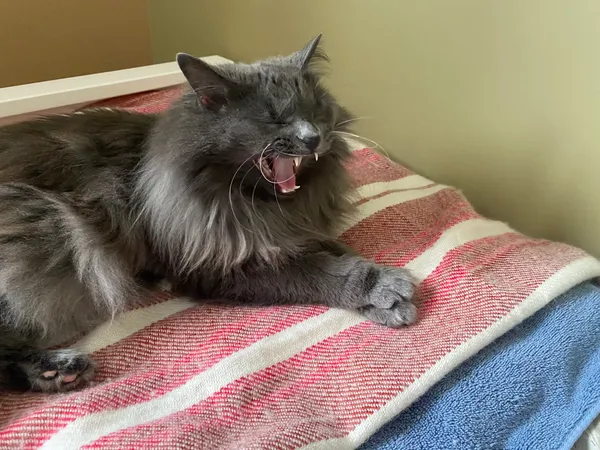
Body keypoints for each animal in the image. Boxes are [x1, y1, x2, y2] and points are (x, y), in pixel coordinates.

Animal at [0, 35, 414, 392]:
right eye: (274, 118)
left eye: (315, 109)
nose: (313, 137)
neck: (264, 208)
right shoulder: (218, 266)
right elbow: (321, 271)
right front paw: (384, 289)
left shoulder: (295, 234)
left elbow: (339, 252)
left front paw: (384, 293)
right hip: (54, 231)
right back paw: (58, 369)